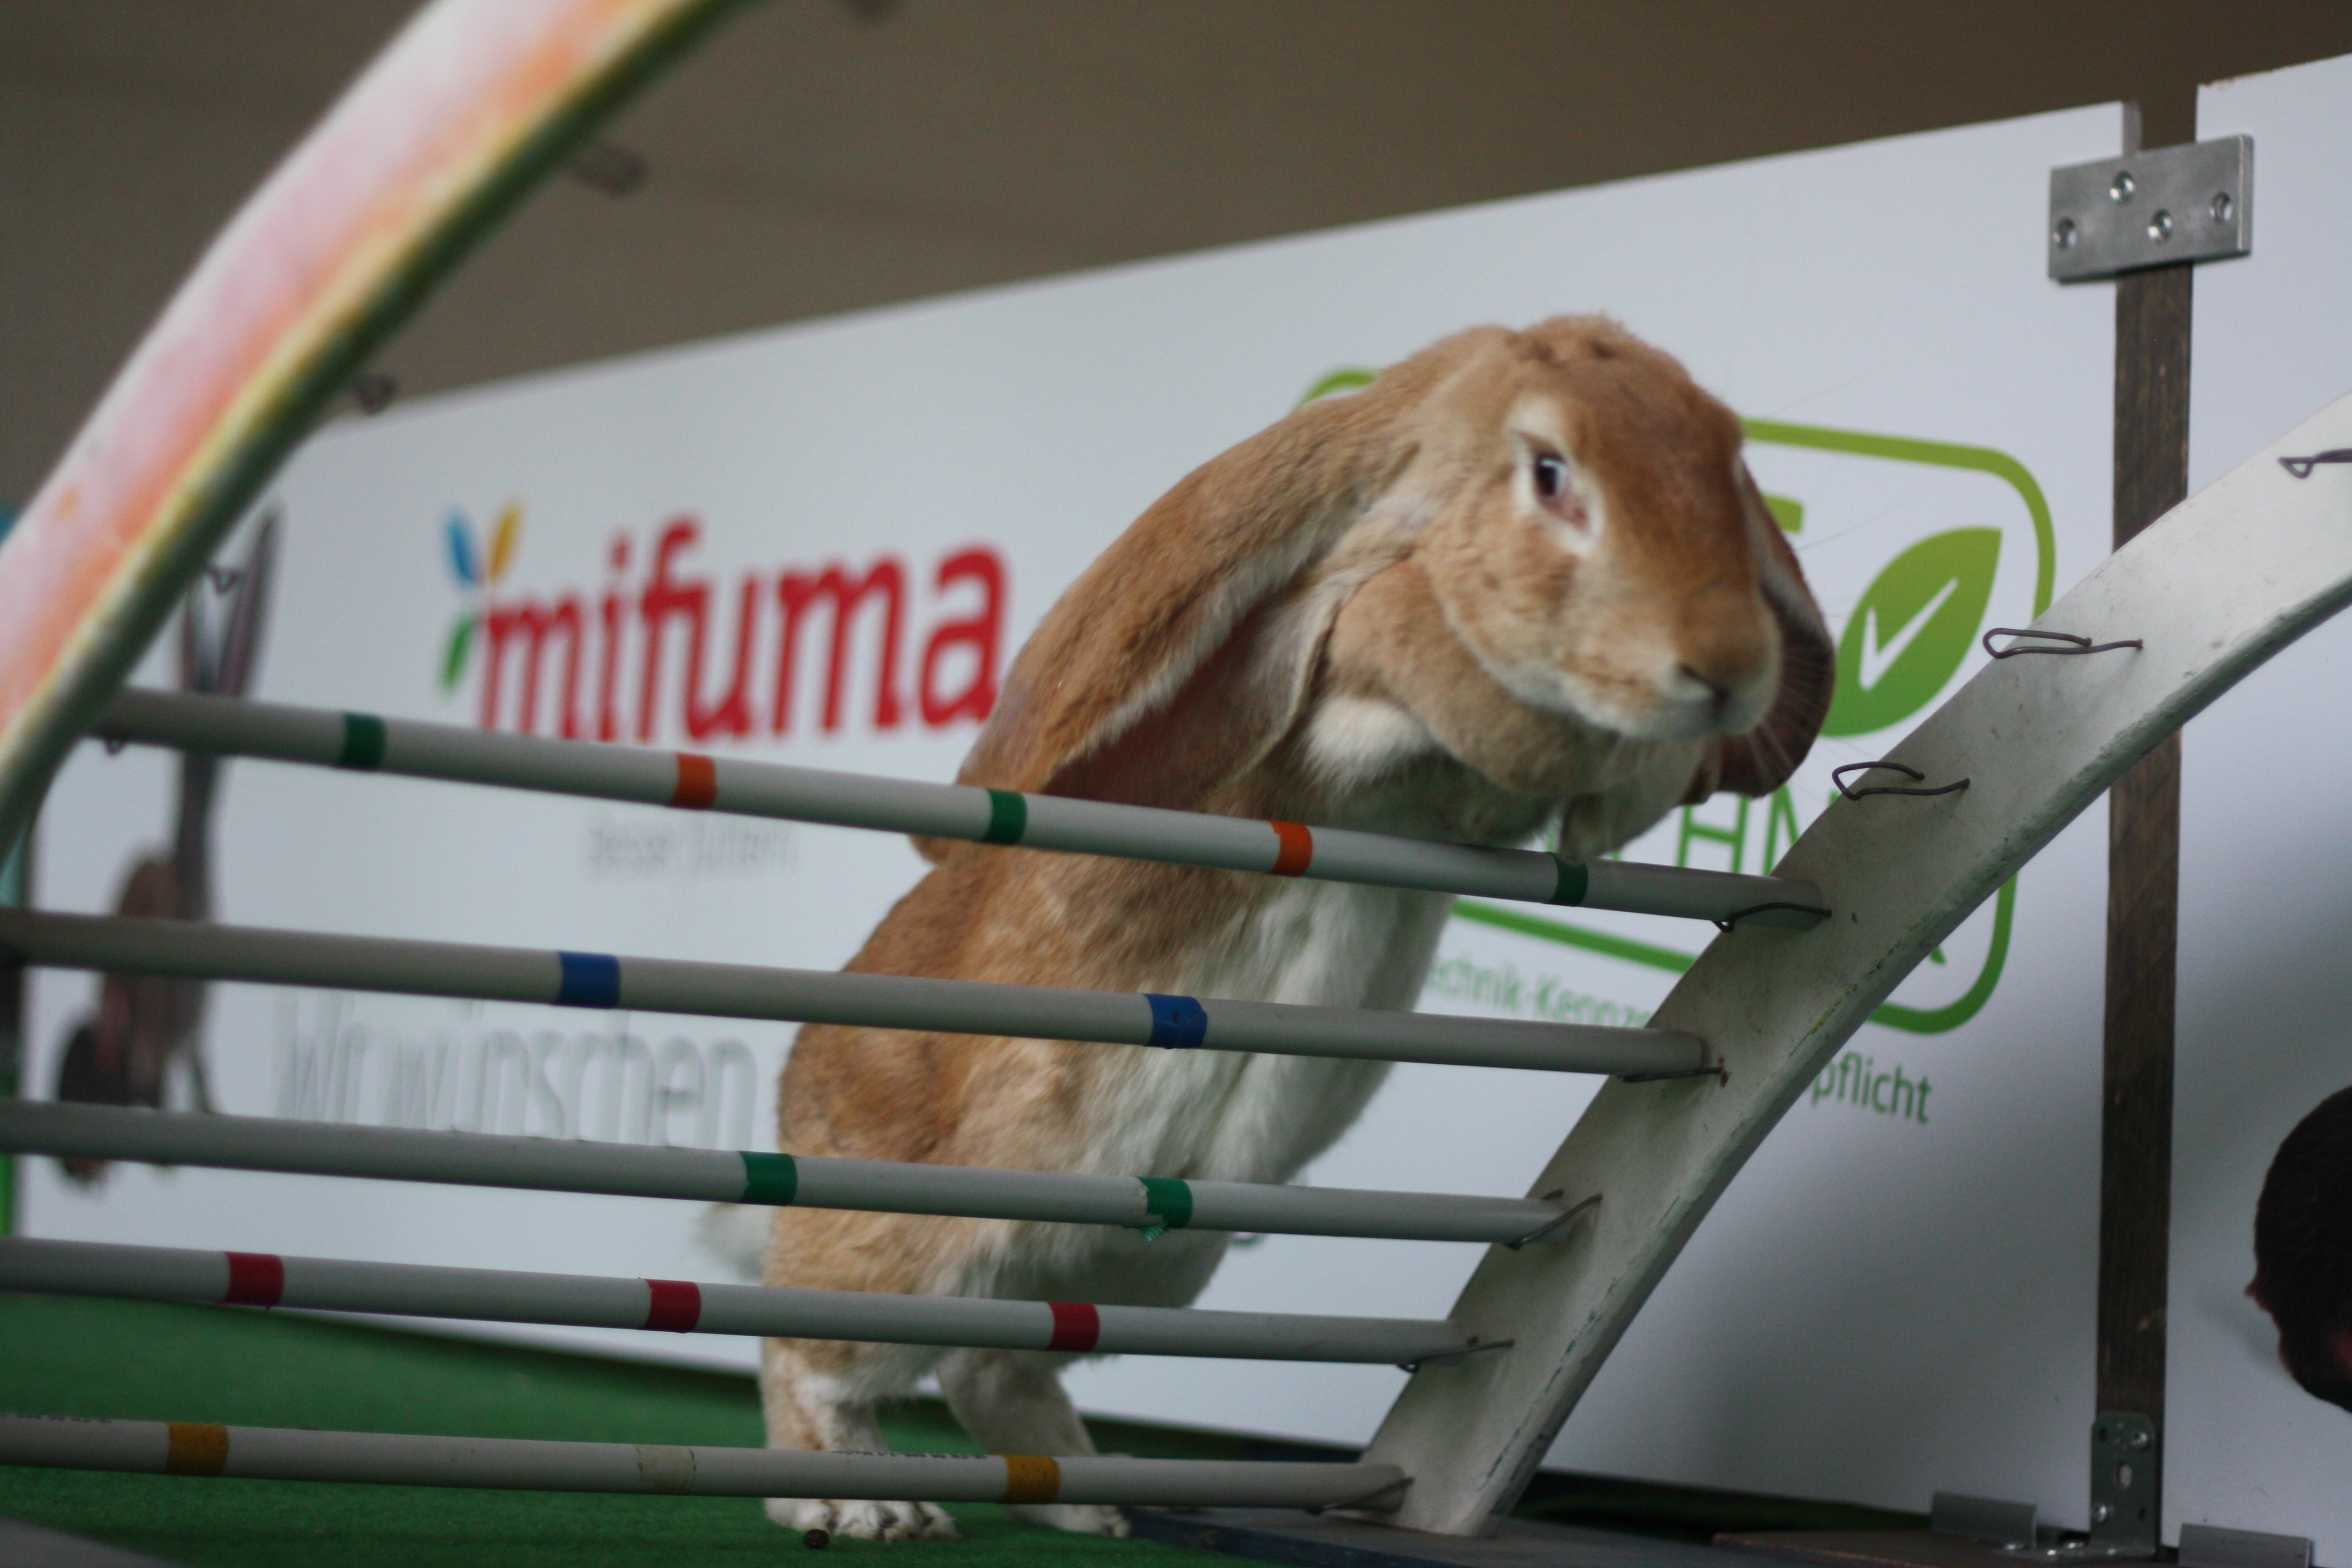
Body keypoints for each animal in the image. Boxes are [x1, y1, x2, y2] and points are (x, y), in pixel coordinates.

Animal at [756, 317, 1832, 1542]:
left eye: (1723, 458)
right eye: (1549, 470)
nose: (1725, 666)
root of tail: (793, 1093)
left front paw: (1614, 805)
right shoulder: (1342, 694)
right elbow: (1414, 668)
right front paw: (1566, 753)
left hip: (1125, 1267)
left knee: (993, 1364)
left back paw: (1092, 1502)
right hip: (908, 1248)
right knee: (808, 1351)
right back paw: (862, 1504)